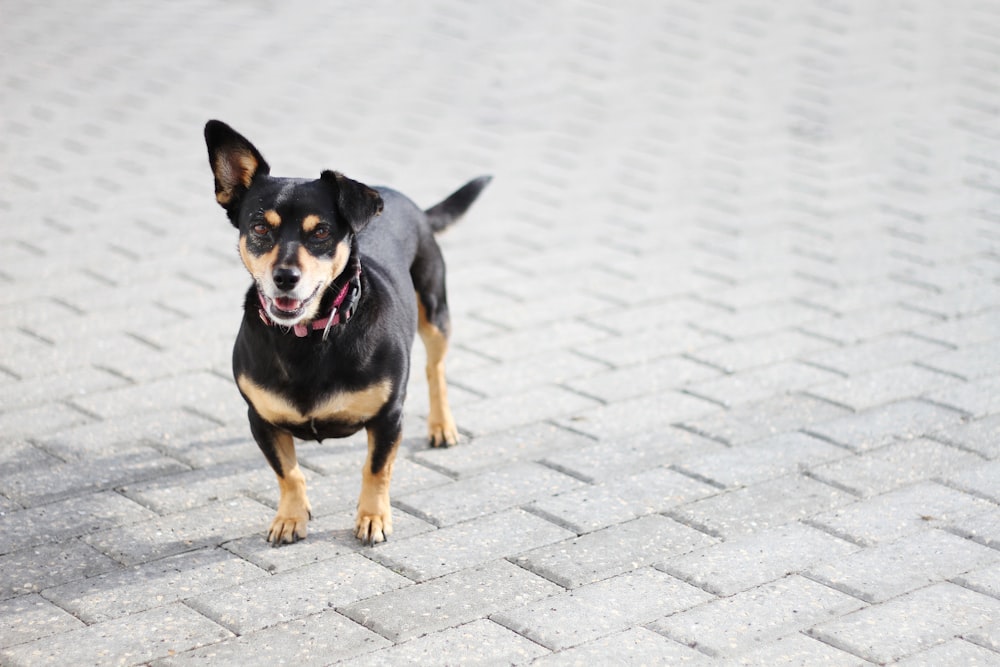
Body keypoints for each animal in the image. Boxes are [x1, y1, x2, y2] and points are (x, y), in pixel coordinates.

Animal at [201, 121, 490, 548]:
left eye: (321, 232)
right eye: (259, 228)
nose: (285, 277)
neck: (306, 337)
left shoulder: (389, 418)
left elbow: (376, 469)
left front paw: (373, 517)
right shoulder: (260, 420)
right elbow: (288, 473)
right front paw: (290, 517)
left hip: (435, 313)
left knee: (435, 370)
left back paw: (441, 426)